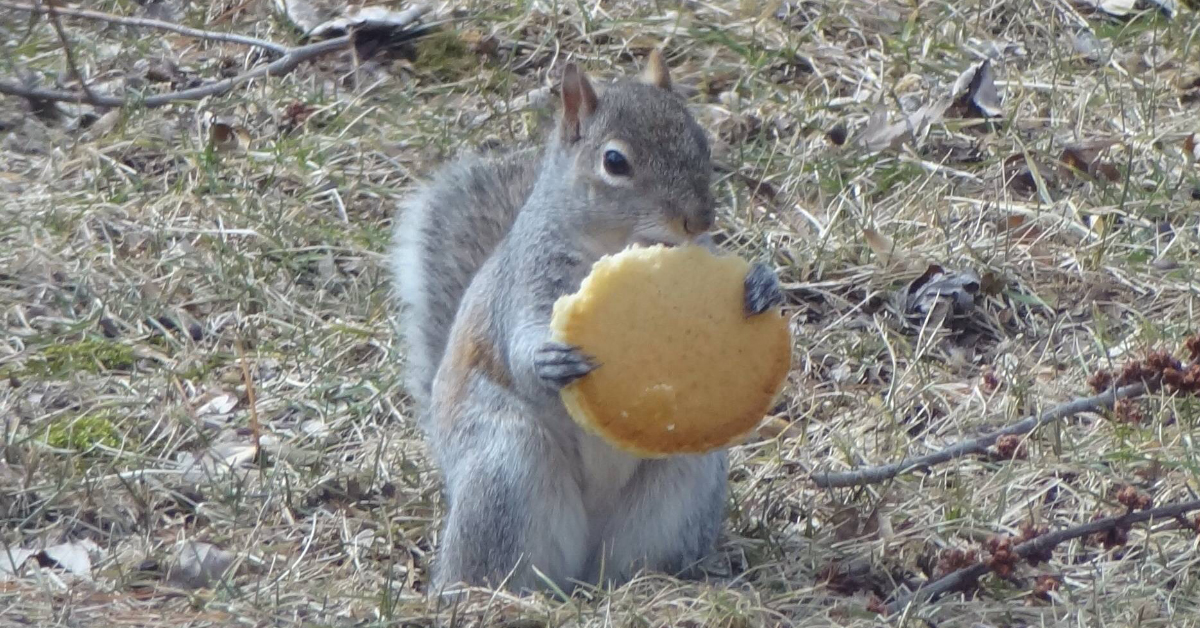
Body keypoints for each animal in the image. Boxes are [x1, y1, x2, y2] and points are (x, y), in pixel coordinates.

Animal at [389, 50, 785, 595]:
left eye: (701, 140)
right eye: (614, 162)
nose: (699, 220)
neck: (614, 242)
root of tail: (582, 573)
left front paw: (763, 284)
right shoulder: (527, 280)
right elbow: (518, 341)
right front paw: (548, 360)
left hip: (683, 482)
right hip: (505, 464)